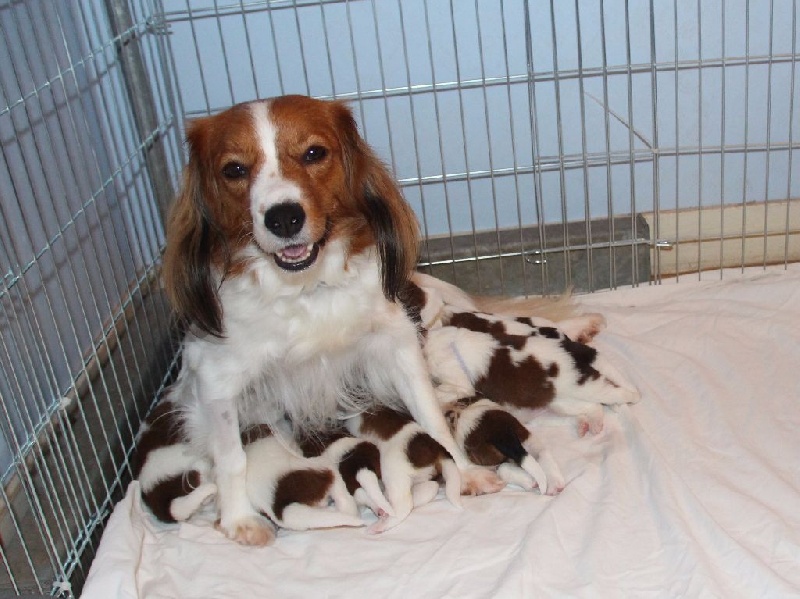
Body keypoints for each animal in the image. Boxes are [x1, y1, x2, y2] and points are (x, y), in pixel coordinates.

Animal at [346, 408, 468, 536]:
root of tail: (438, 449)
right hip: (420, 479)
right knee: (429, 488)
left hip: (393, 470)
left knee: (403, 507)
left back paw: (379, 525)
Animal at [428, 310, 640, 436]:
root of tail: (576, 350)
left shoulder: (457, 381)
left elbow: (448, 389)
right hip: (562, 401)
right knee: (593, 406)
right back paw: (591, 424)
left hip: (586, 386)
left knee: (613, 393)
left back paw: (631, 397)